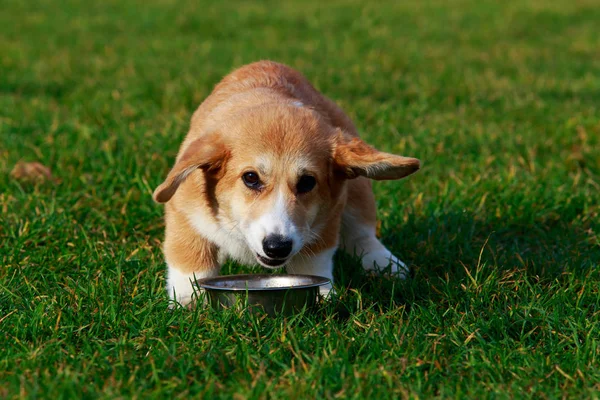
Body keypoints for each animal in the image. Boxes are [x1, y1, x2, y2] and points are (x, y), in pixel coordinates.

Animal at [152, 61, 420, 308]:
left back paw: (388, 265)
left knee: (362, 234)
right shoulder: (185, 212)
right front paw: (188, 302)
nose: (277, 247)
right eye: (251, 178)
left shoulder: (327, 220)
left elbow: (314, 263)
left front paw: (324, 295)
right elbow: (191, 260)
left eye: (307, 182)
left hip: (358, 191)